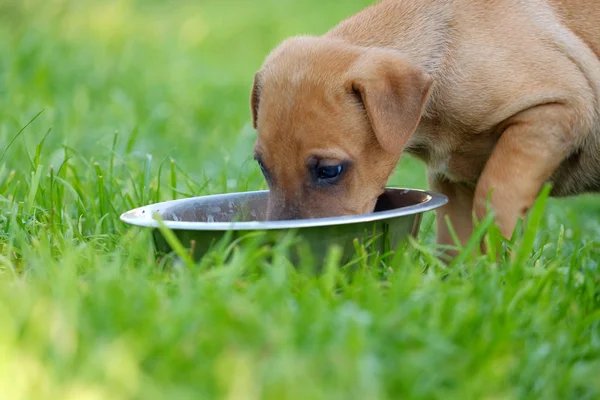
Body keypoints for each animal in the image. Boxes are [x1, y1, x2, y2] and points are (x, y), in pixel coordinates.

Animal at [248, 0, 600, 250]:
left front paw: (503, 276)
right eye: (262, 166)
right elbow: (456, 245)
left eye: (329, 171)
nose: (282, 248)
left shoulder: (556, 112)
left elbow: (494, 200)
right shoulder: (452, 180)